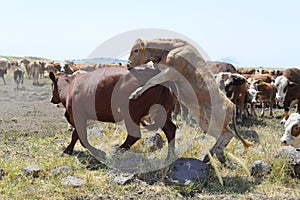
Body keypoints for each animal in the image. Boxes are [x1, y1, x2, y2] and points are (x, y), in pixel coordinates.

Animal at [48, 66, 177, 160]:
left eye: (51, 84)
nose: (51, 99)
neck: (69, 85)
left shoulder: (77, 116)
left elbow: (81, 138)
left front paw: (99, 152)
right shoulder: (79, 117)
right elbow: (76, 135)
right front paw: (68, 150)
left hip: (131, 113)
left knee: (134, 135)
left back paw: (117, 151)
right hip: (160, 113)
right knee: (170, 129)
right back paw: (169, 158)